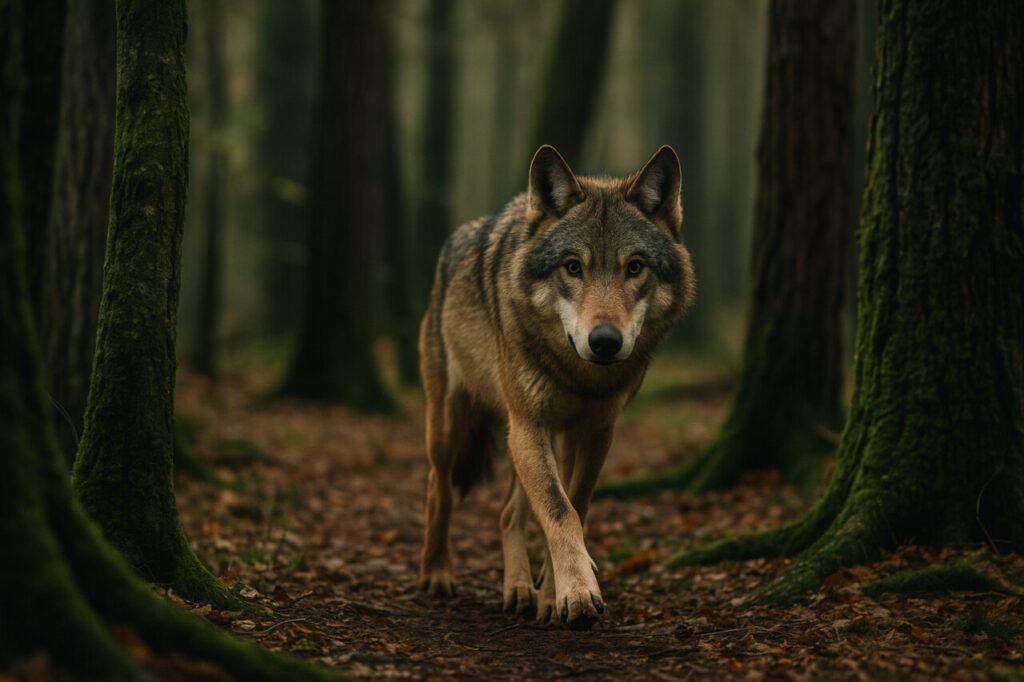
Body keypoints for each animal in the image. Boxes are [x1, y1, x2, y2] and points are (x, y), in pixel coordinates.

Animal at [418, 145, 695, 629]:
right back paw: (436, 572)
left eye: (635, 267)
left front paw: (554, 593)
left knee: (508, 512)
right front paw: (578, 593)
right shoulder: (530, 425)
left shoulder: (596, 432)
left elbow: (575, 508)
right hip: (455, 426)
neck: (579, 376)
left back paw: (519, 590)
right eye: (573, 267)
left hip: (537, 437)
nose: (605, 341)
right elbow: (559, 510)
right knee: (440, 489)